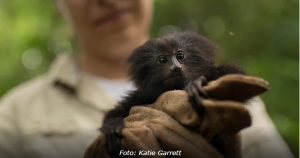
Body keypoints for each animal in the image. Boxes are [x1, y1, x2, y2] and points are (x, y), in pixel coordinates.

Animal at [101, 31, 244, 157]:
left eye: (180, 56)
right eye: (162, 60)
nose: (175, 67)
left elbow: (234, 74)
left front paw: (197, 82)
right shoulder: (140, 97)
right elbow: (116, 111)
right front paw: (113, 127)